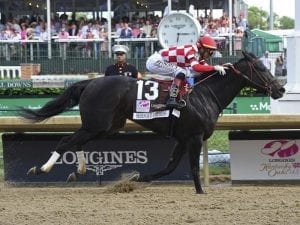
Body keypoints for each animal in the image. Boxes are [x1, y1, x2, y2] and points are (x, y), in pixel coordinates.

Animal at [19, 51, 284, 193]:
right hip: (97, 124)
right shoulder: (195, 137)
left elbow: (169, 167)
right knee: (66, 140)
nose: (280, 89)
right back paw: (41, 168)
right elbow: (192, 167)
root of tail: (90, 82)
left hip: (106, 126)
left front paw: (137, 178)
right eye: (262, 68)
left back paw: (79, 170)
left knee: (77, 142)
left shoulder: (182, 139)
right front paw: (200, 191)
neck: (205, 94)